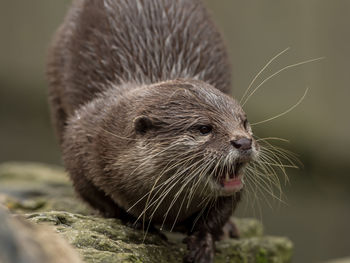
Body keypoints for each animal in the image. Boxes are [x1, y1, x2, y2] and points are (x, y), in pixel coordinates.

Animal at [47, 1, 260, 262]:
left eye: (244, 122)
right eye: (204, 128)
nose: (243, 142)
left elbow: (219, 213)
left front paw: (204, 241)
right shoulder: (79, 144)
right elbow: (102, 200)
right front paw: (140, 224)